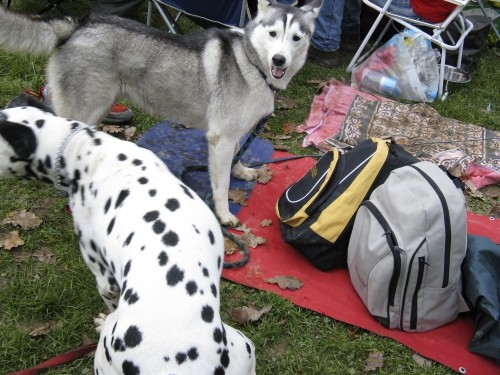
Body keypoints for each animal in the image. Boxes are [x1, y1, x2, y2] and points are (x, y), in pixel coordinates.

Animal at [0, 0, 320, 226]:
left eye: (296, 37)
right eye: (273, 33)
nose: (279, 60)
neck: (252, 62)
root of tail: (77, 24)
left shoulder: (232, 133)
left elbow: (238, 156)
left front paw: (241, 170)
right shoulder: (220, 138)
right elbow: (221, 186)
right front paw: (224, 215)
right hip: (86, 111)